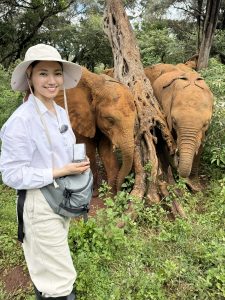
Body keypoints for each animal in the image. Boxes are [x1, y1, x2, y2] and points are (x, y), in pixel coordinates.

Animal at [55, 67, 135, 196]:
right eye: (110, 119)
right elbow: (89, 150)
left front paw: (110, 194)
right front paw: (95, 193)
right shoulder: (78, 119)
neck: (97, 84)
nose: (120, 191)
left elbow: (106, 151)